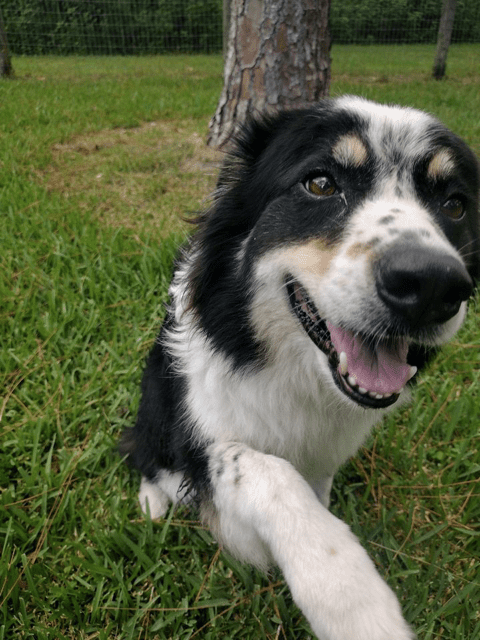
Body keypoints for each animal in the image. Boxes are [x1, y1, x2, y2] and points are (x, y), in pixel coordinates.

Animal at [119, 96, 476, 640]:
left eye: (454, 204)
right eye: (320, 183)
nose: (434, 285)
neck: (294, 373)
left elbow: (312, 484)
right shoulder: (201, 438)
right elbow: (266, 471)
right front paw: (350, 598)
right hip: (155, 406)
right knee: (144, 452)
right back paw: (152, 501)